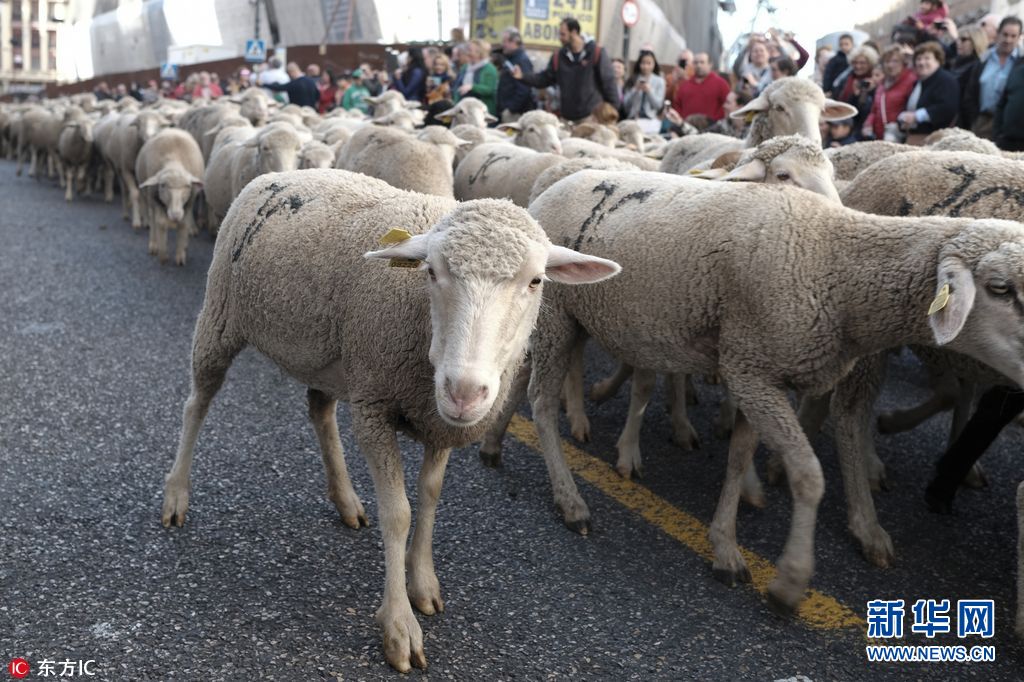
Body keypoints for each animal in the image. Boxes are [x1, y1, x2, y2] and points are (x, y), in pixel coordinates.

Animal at [137, 127, 206, 266]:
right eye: (163, 185)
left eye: (188, 186)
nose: (175, 215)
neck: (174, 161)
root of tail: (173, 128)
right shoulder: (156, 201)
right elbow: (160, 223)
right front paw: (163, 255)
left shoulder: (188, 204)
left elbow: (184, 225)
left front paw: (180, 256)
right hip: (150, 200)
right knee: (152, 221)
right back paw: (154, 244)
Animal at [160, 168, 618, 667]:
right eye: (431, 272)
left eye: (536, 281)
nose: (463, 391)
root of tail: (284, 172)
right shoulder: (375, 407)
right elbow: (398, 513)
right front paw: (399, 625)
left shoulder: (434, 421)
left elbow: (430, 496)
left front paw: (423, 582)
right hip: (222, 316)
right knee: (197, 403)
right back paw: (176, 495)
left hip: (335, 360)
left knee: (319, 411)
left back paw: (345, 500)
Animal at [483, 166, 1024, 614]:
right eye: (999, 287)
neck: (835, 263)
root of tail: (549, 190)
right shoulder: (752, 370)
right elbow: (808, 474)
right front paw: (790, 581)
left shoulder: (755, 368)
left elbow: (740, 455)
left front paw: (725, 545)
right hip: (559, 314)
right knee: (542, 403)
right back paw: (570, 501)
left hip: (558, 318)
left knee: (520, 375)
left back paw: (492, 444)